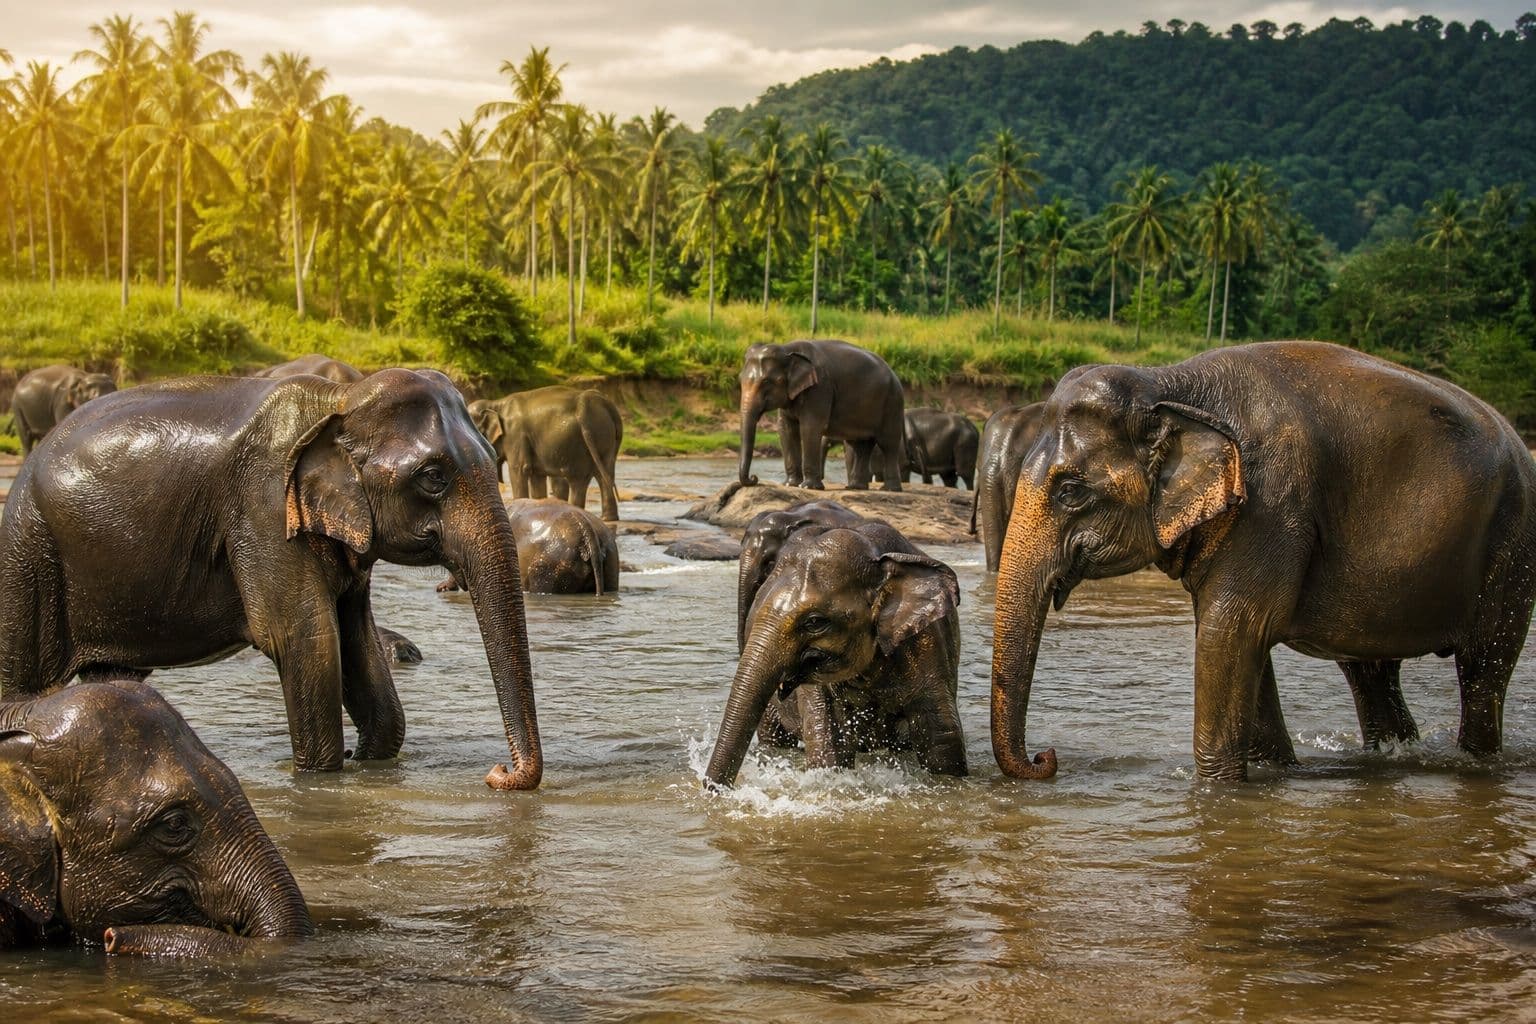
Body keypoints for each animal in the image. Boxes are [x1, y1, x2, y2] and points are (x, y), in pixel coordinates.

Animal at [0, 368, 543, 791]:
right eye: (433, 477)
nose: (497, 773)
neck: (338, 401)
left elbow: (357, 641)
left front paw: (368, 762)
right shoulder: (261, 509)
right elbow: (308, 639)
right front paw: (323, 776)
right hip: (29, 551)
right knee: (21, 683)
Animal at [474, 386, 622, 522]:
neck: (496, 403)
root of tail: (592, 401)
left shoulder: (515, 435)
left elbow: (519, 470)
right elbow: (537, 476)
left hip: (579, 443)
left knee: (579, 479)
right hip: (605, 436)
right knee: (604, 474)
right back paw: (608, 518)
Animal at [738, 339, 906, 492]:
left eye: (766, 381)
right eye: (740, 379)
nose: (754, 478)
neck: (788, 348)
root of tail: (895, 375)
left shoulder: (820, 387)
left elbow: (810, 427)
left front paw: (808, 487)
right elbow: (786, 428)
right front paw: (789, 485)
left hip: (892, 403)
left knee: (888, 444)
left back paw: (889, 489)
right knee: (861, 445)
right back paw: (855, 487)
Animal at [990, 341, 1536, 782]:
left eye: (1070, 491)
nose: (1045, 757)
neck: (1168, 381)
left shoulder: (1272, 506)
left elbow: (1229, 632)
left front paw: (1217, 789)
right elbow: (1234, 638)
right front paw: (1276, 772)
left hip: (1513, 547)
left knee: (1483, 670)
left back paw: (1476, 763)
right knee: (1371, 675)